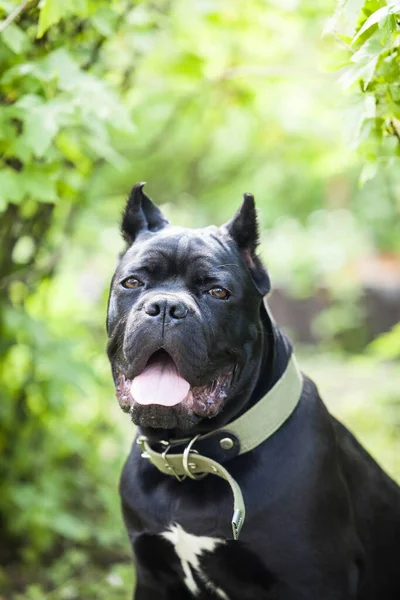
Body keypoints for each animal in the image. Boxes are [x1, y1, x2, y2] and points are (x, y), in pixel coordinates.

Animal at [106, 184, 400, 600]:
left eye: (217, 291)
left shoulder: (313, 578)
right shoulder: (153, 577)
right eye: (132, 283)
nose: (165, 306)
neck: (192, 458)